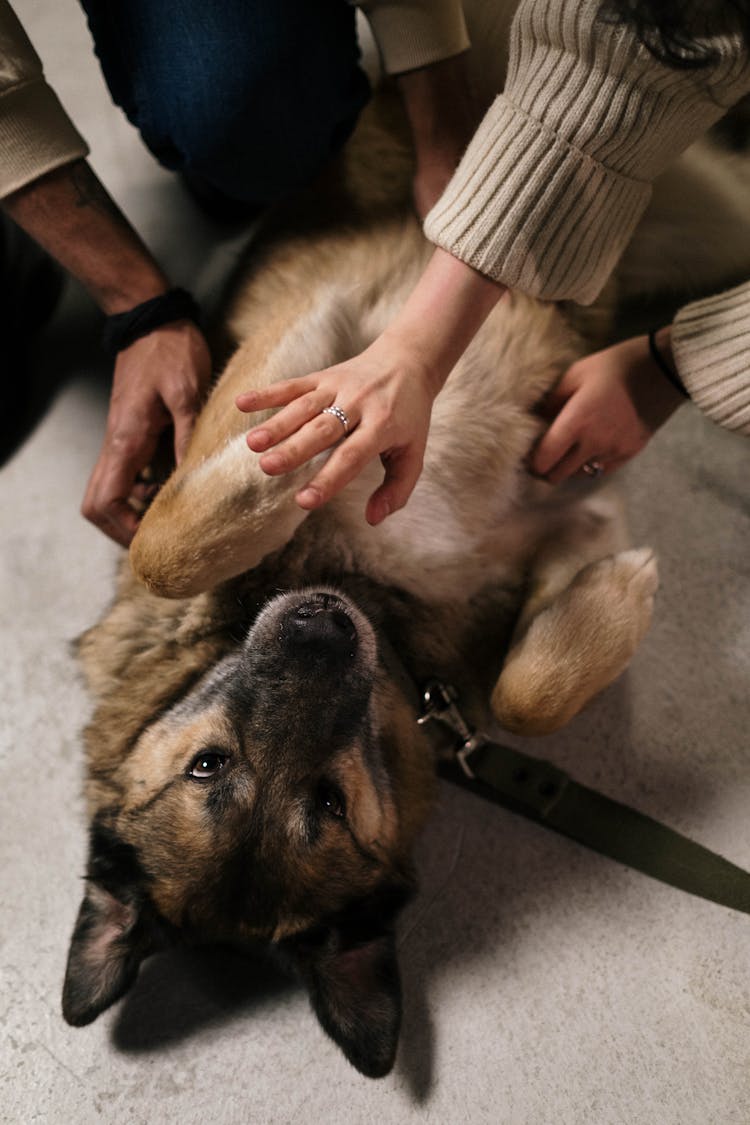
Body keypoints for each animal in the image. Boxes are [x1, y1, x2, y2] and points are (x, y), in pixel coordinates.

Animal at [60, 92, 674, 1075]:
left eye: (207, 760)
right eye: (329, 799)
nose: (323, 630)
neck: (361, 589)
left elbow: (172, 538)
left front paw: (305, 444)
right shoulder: (570, 509)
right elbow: (529, 693)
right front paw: (622, 593)